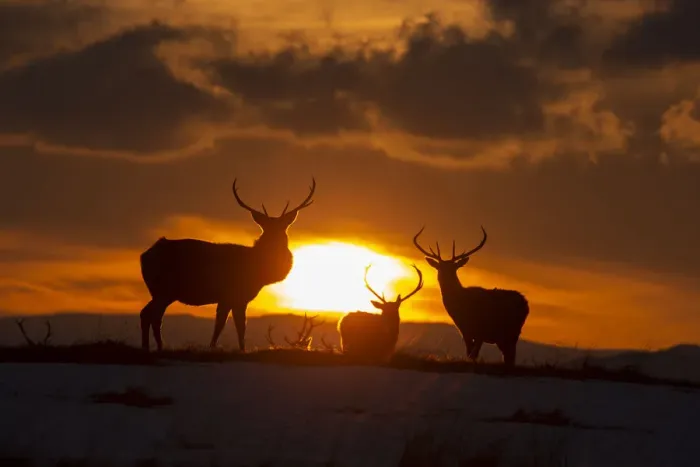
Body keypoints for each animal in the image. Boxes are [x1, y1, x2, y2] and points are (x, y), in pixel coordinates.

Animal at [139, 178, 316, 352]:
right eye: (265, 228)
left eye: (283, 227)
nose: (275, 241)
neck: (259, 273)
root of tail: (144, 256)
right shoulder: (233, 295)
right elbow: (233, 325)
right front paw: (229, 349)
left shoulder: (231, 299)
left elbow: (229, 325)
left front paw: (223, 347)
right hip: (164, 289)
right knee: (150, 314)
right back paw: (156, 347)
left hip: (161, 292)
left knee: (148, 314)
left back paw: (150, 347)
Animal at [413, 226, 529, 366]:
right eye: (439, 267)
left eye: (454, 267)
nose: (444, 277)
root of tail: (525, 303)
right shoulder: (464, 330)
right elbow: (469, 352)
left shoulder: (480, 329)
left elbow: (474, 354)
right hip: (505, 336)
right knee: (508, 356)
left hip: (512, 330)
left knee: (510, 356)